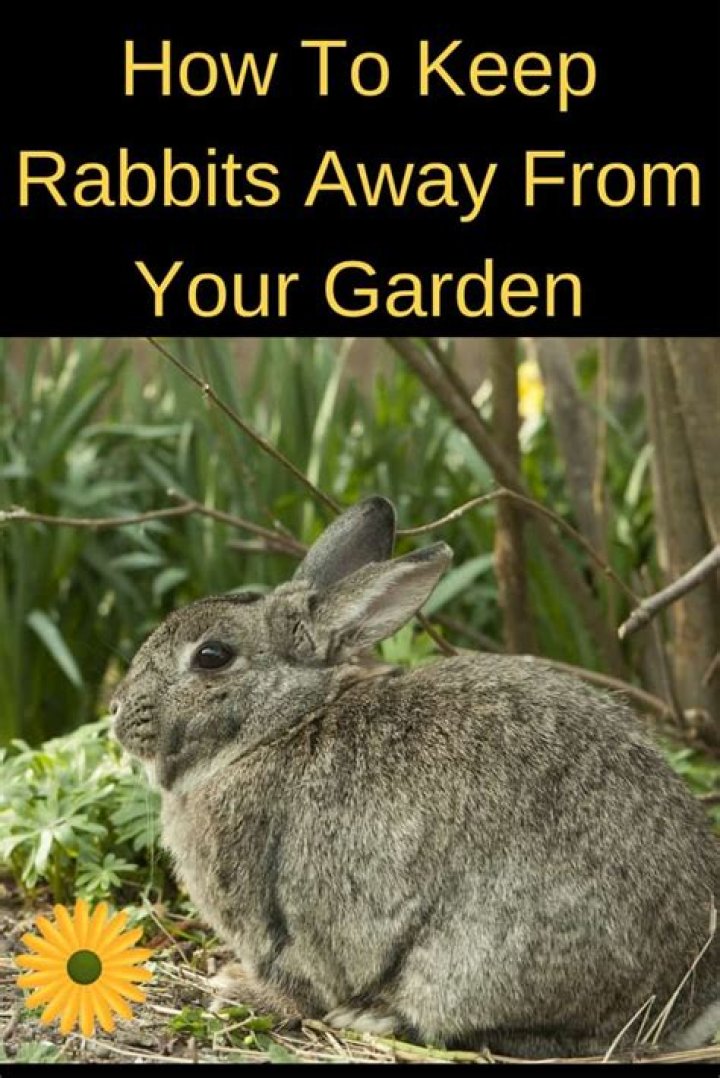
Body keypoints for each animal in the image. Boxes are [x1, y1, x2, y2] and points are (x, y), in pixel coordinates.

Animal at [112, 496, 720, 1058]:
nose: (117, 709)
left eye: (212, 656)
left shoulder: (275, 922)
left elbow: (297, 983)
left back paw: (376, 1017)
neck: (283, 724)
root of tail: (690, 1000)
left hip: (476, 959)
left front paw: (237, 991)